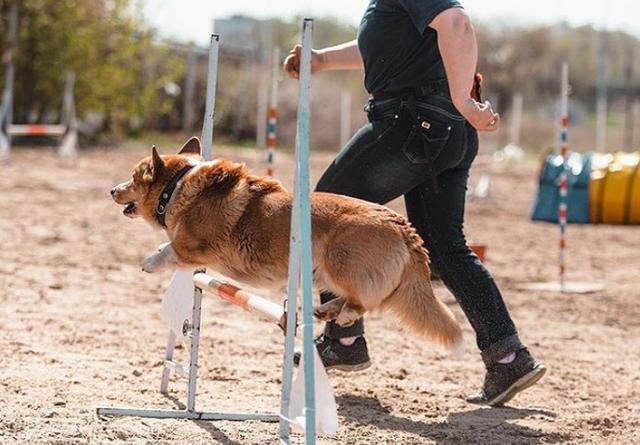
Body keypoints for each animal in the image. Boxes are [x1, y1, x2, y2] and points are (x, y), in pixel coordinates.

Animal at [109, 137, 460, 348]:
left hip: (340, 261)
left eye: (134, 177)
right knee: (358, 299)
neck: (177, 186)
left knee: (366, 302)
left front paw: (149, 262)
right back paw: (325, 311)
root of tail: (405, 229)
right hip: (327, 272)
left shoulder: (193, 246)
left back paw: (343, 314)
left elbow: (168, 249)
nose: (112, 190)